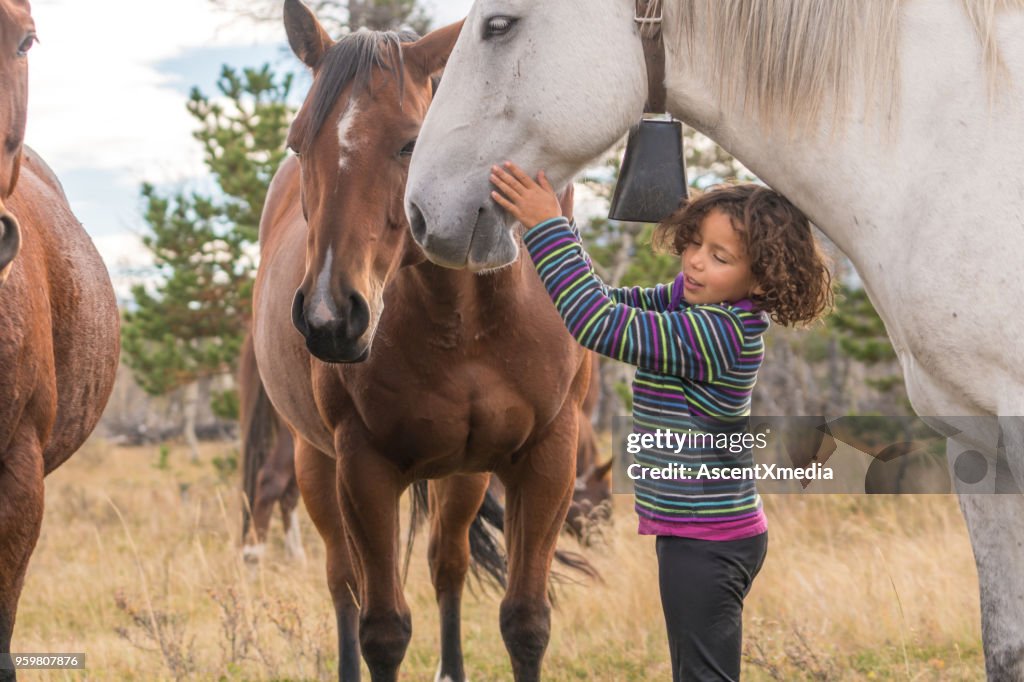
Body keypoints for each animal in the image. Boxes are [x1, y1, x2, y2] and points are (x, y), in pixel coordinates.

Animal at [251, 2, 593, 675]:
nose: (330, 315)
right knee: (343, 583)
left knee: (447, 565)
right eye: (298, 142)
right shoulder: (363, 468)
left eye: (411, 142)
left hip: (462, 476)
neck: (468, 319)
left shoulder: (548, 457)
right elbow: (382, 628)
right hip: (313, 463)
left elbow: (525, 622)